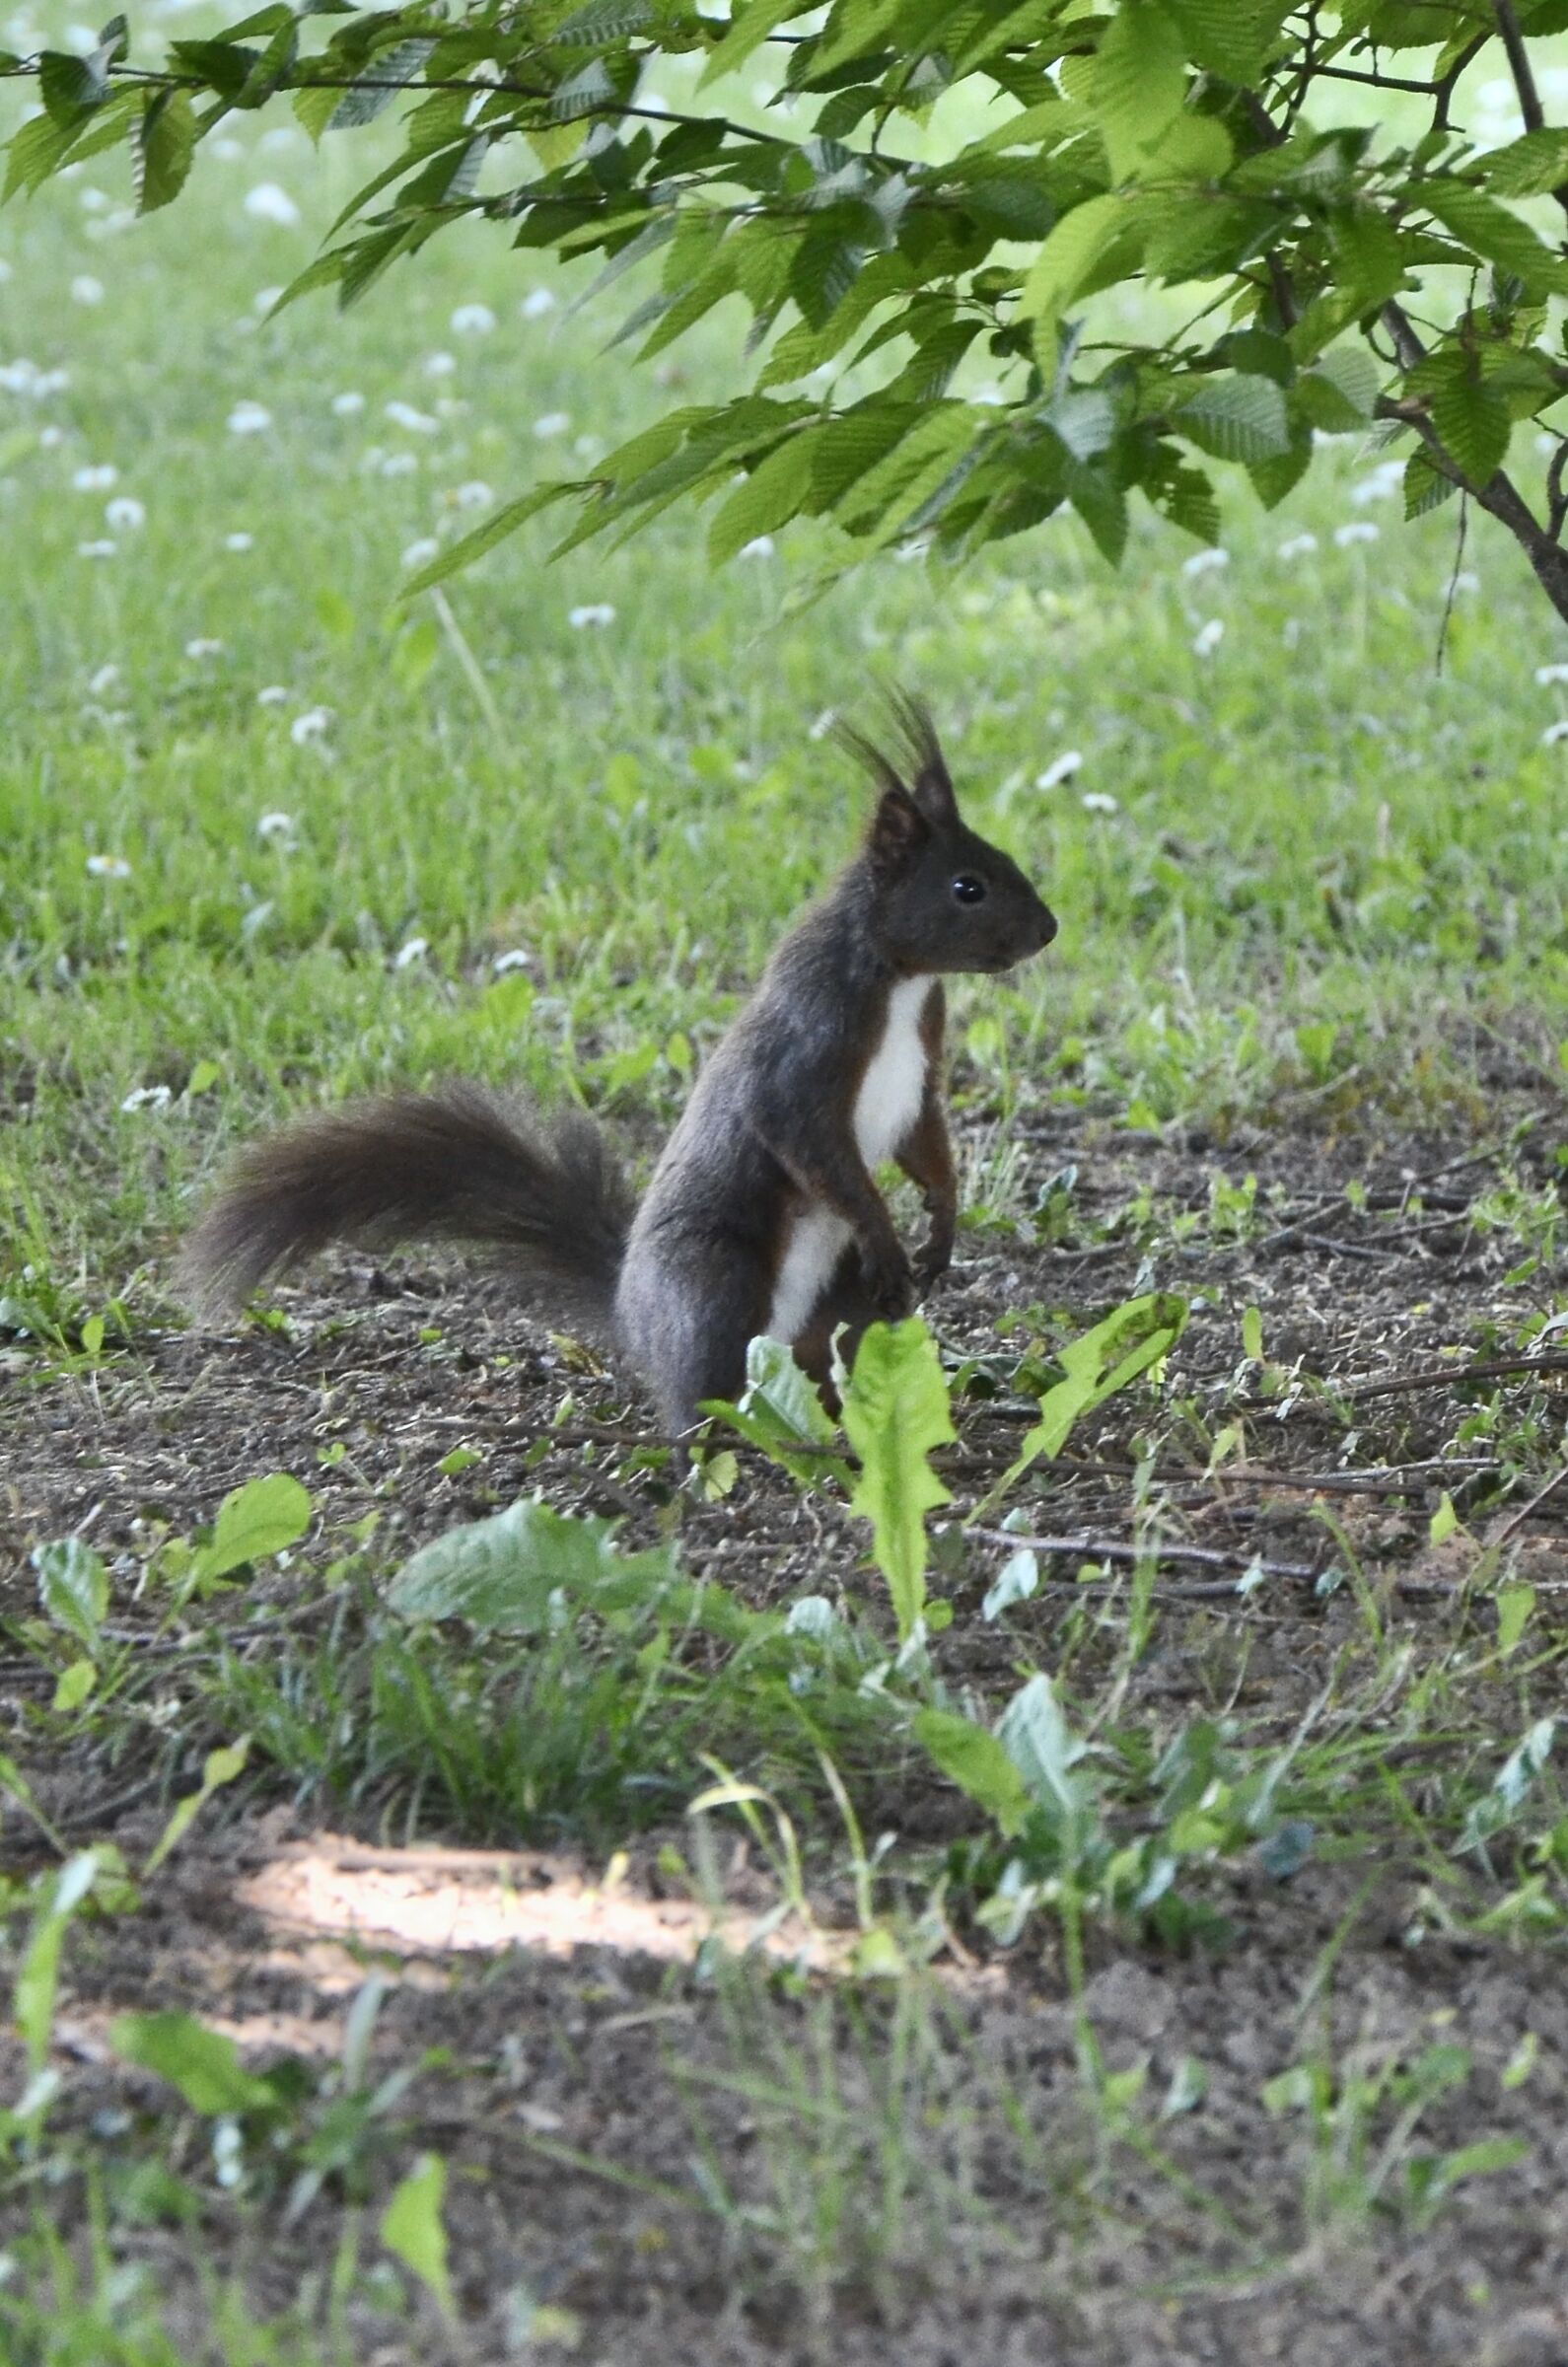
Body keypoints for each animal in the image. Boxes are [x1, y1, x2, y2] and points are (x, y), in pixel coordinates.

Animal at [181, 693, 1057, 1432]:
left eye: (1007, 859)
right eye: (967, 886)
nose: (1047, 930)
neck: (903, 981)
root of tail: (633, 1312)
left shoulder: (920, 1071)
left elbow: (924, 1140)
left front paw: (940, 1229)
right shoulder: (806, 1048)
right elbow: (811, 1143)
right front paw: (889, 1233)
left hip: (846, 1310)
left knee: (824, 1362)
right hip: (712, 1283)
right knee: (699, 1394)